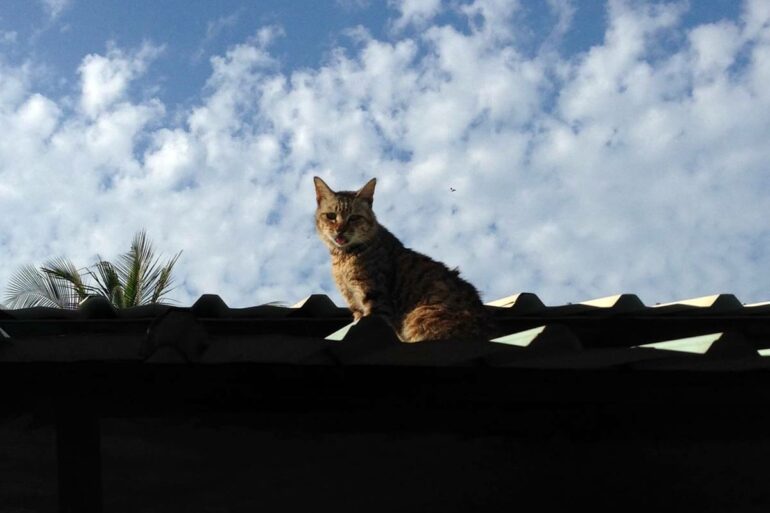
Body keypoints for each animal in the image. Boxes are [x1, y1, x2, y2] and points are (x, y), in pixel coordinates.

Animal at [310, 175, 486, 340]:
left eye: (354, 217)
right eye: (331, 216)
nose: (340, 230)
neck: (344, 258)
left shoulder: (375, 298)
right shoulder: (354, 303)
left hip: (421, 317)